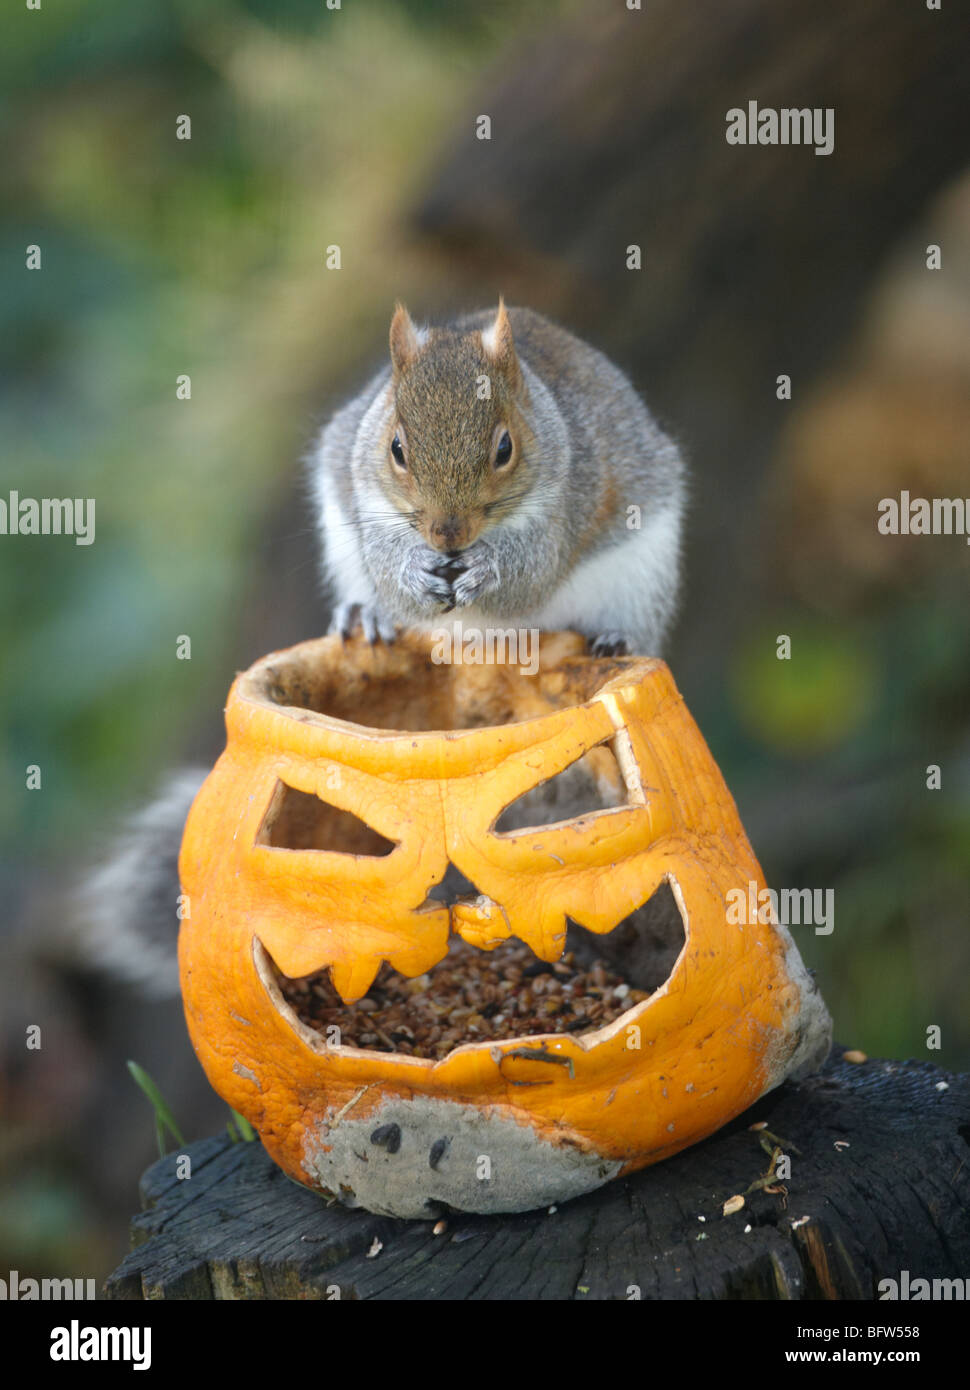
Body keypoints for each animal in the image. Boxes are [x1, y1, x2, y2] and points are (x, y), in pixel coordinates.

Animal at [74, 301, 686, 996]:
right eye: (396, 447)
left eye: (505, 447)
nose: (447, 534)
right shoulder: (365, 501)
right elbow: (390, 563)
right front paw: (413, 575)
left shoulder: (569, 504)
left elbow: (531, 571)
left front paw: (488, 571)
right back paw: (366, 616)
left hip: (642, 571)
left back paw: (611, 636)